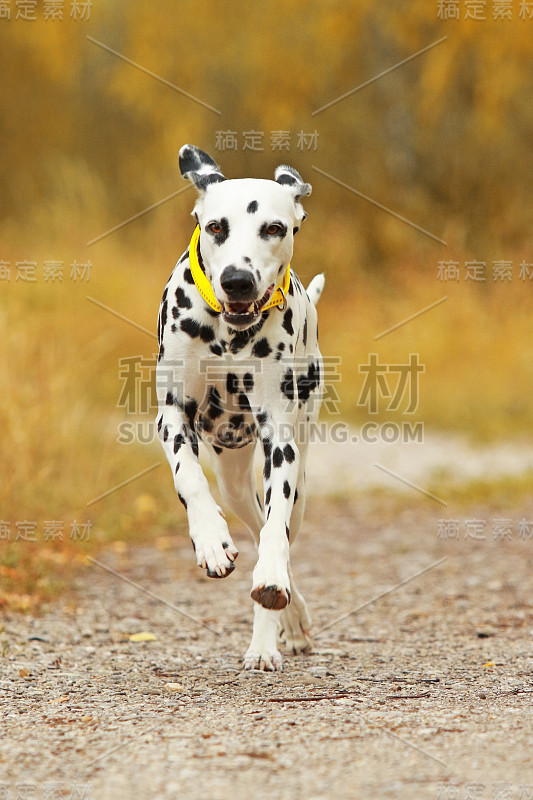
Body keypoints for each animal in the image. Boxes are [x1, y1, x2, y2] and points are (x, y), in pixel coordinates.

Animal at [156, 144, 324, 668]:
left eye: (273, 228)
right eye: (215, 227)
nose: (237, 281)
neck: (228, 335)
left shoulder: (280, 441)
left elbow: (275, 536)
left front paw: (272, 586)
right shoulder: (171, 415)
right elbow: (188, 477)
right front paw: (210, 540)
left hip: (298, 475)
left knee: (277, 531)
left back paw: (272, 634)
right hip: (231, 483)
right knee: (245, 518)